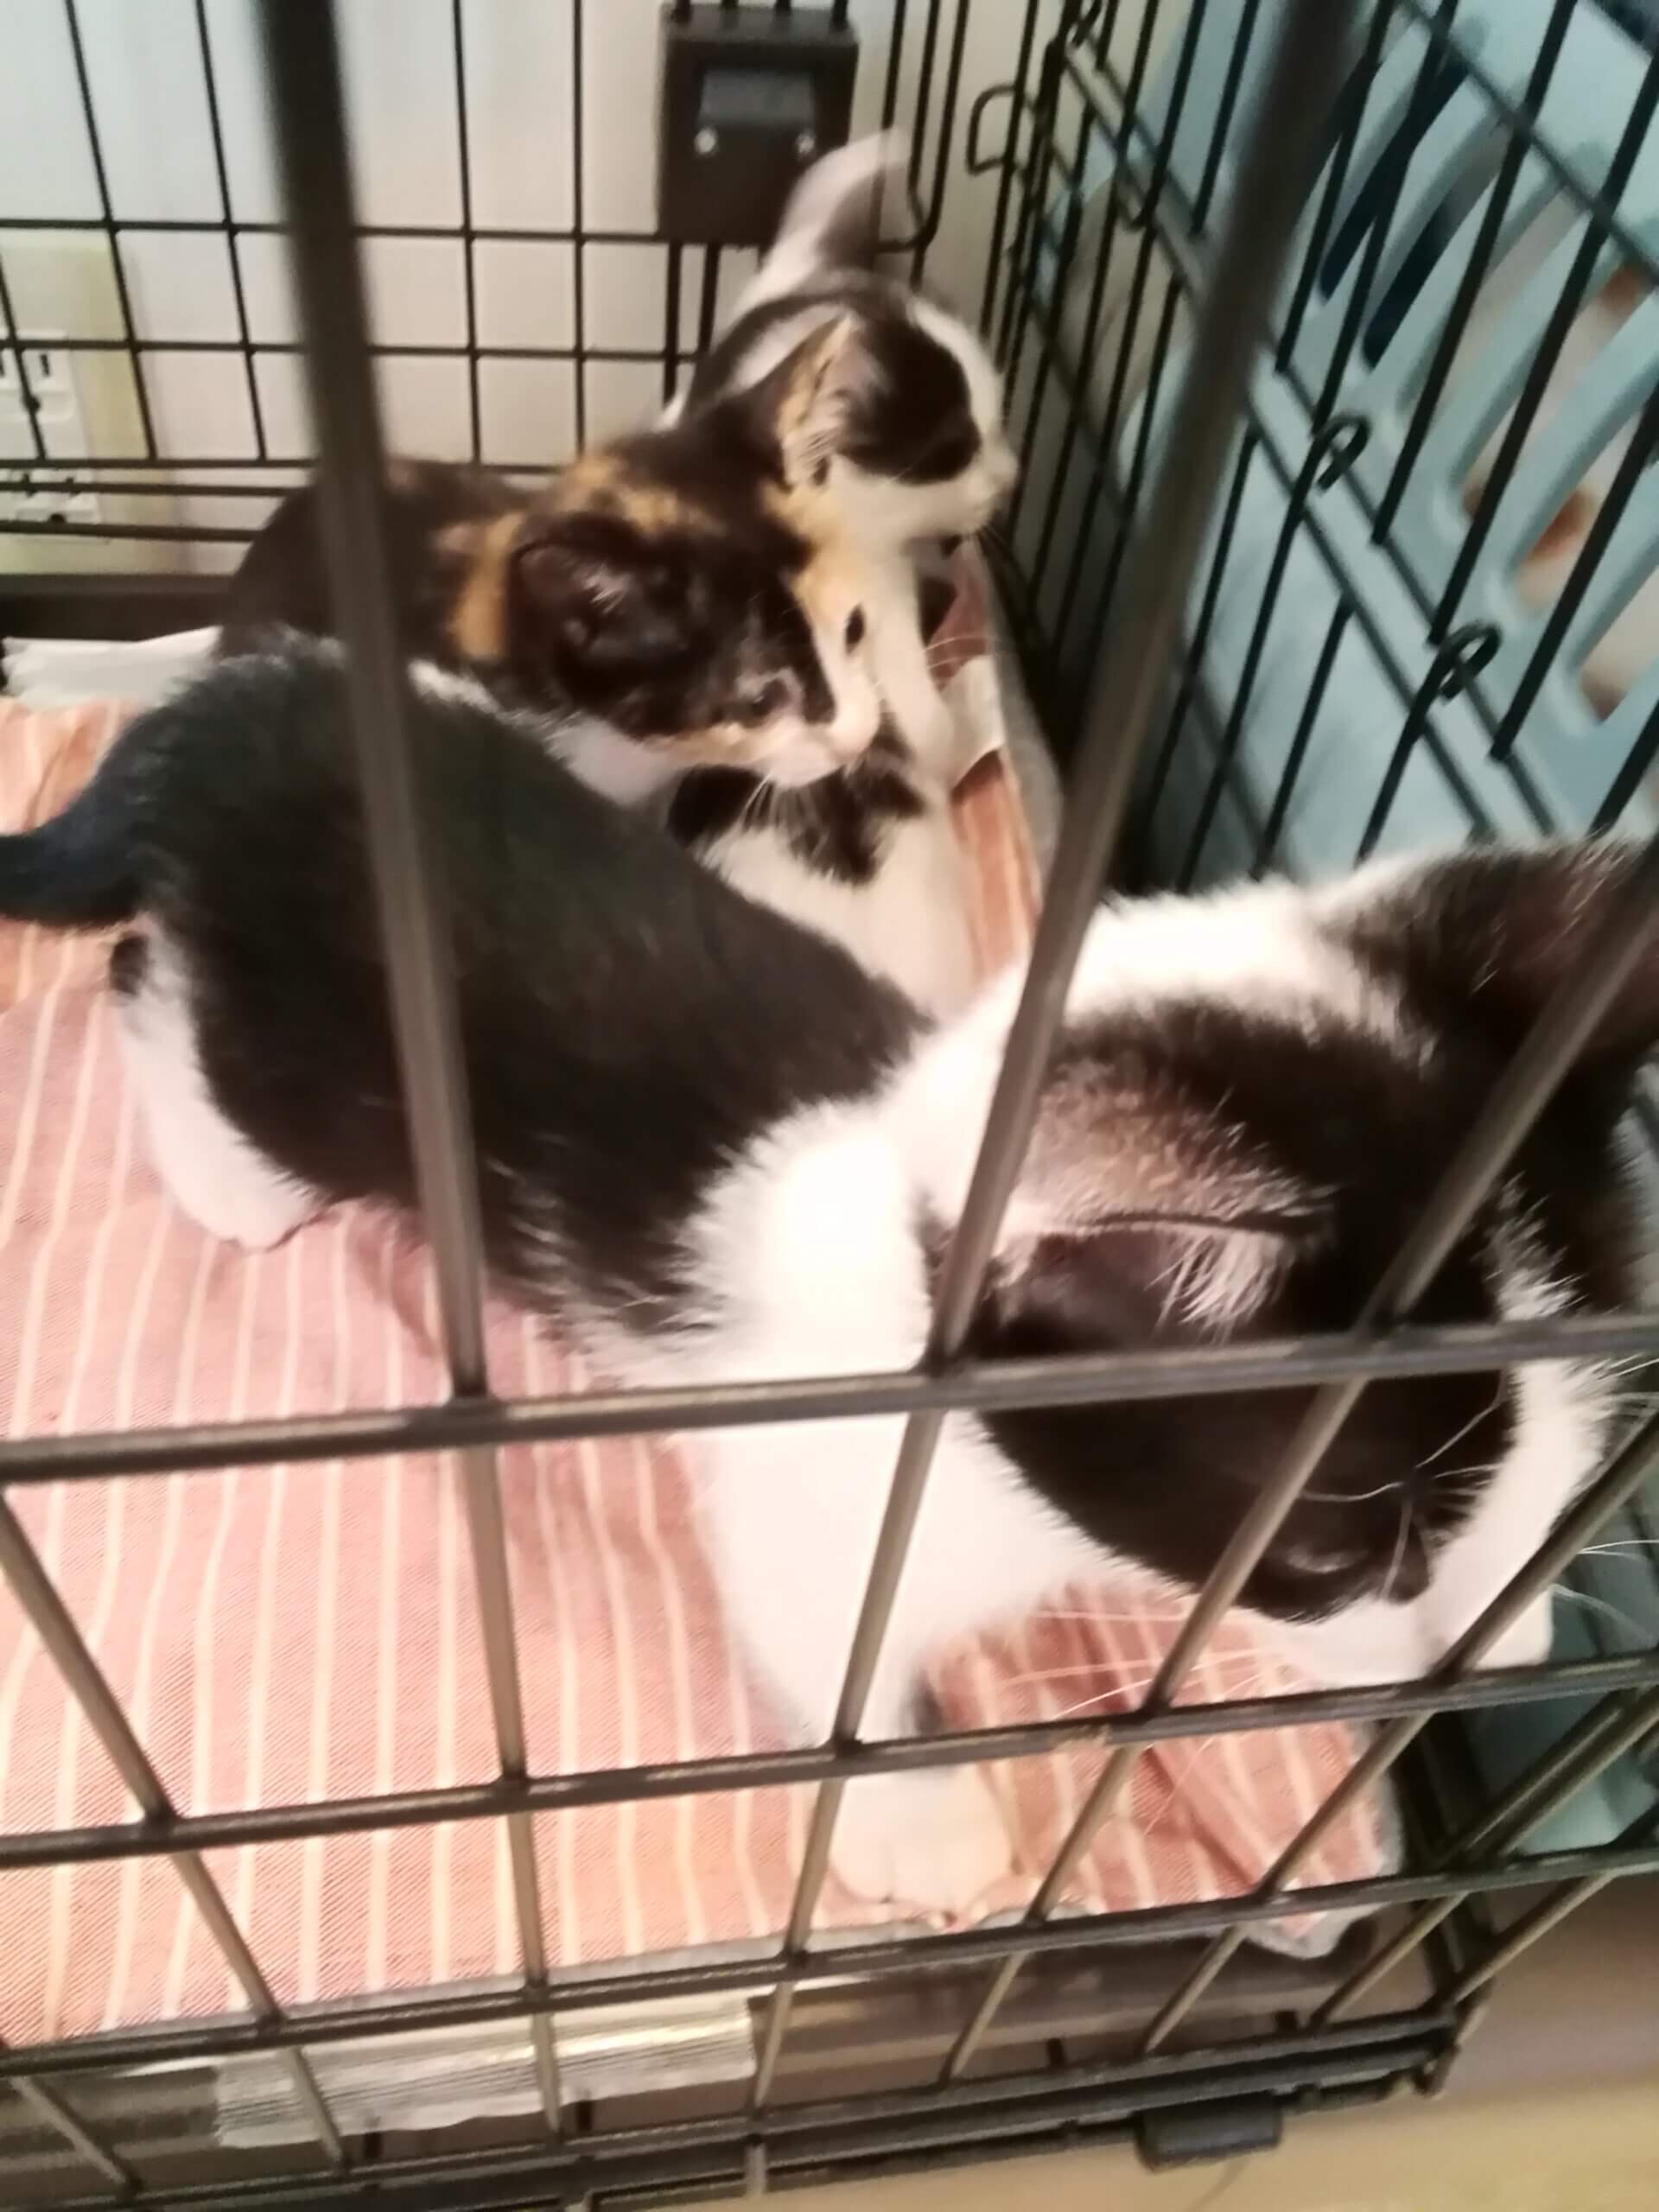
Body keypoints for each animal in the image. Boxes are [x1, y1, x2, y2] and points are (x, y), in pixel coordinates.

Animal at [0, 637, 1636, 1915]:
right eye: (1340, 1556)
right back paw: (224, 1174)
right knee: (154, 997)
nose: (1490, 1664)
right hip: (289, 1046)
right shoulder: (805, 1485)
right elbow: (833, 1652)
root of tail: (233, 711)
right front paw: (921, 1823)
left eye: (1559, 1496)